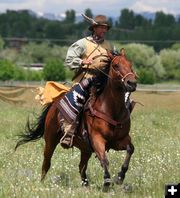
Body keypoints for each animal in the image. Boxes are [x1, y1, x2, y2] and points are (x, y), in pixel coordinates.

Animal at [15, 47, 136, 190]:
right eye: (116, 65)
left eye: (130, 65)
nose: (132, 83)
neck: (111, 110)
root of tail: (55, 102)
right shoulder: (97, 139)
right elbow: (104, 159)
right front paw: (107, 181)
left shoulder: (120, 140)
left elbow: (130, 149)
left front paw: (120, 176)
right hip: (50, 141)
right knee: (46, 163)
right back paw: (42, 183)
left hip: (85, 149)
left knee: (81, 167)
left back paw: (86, 185)